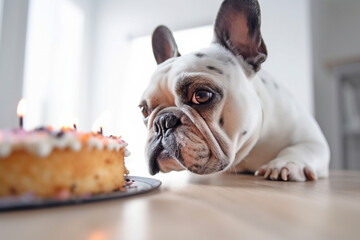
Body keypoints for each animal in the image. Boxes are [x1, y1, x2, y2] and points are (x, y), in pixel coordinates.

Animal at [139, 0, 330, 180]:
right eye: (144, 110)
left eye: (201, 95)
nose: (162, 122)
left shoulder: (314, 141)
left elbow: (301, 149)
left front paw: (284, 164)